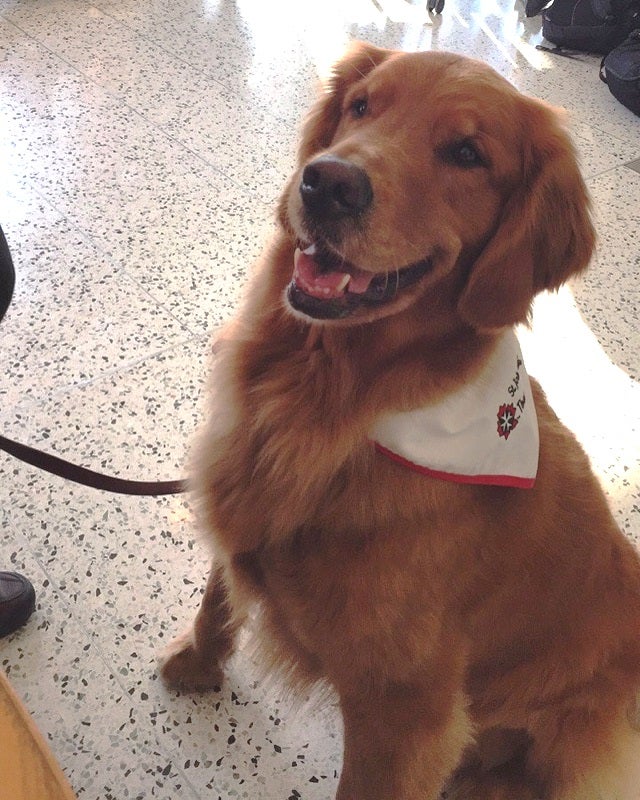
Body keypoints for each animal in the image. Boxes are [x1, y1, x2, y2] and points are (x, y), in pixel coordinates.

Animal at [161, 45, 640, 800]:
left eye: (468, 153)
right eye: (362, 105)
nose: (326, 184)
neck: (323, 396)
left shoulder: (404, 715)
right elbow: (217, 597)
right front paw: (195, 663)